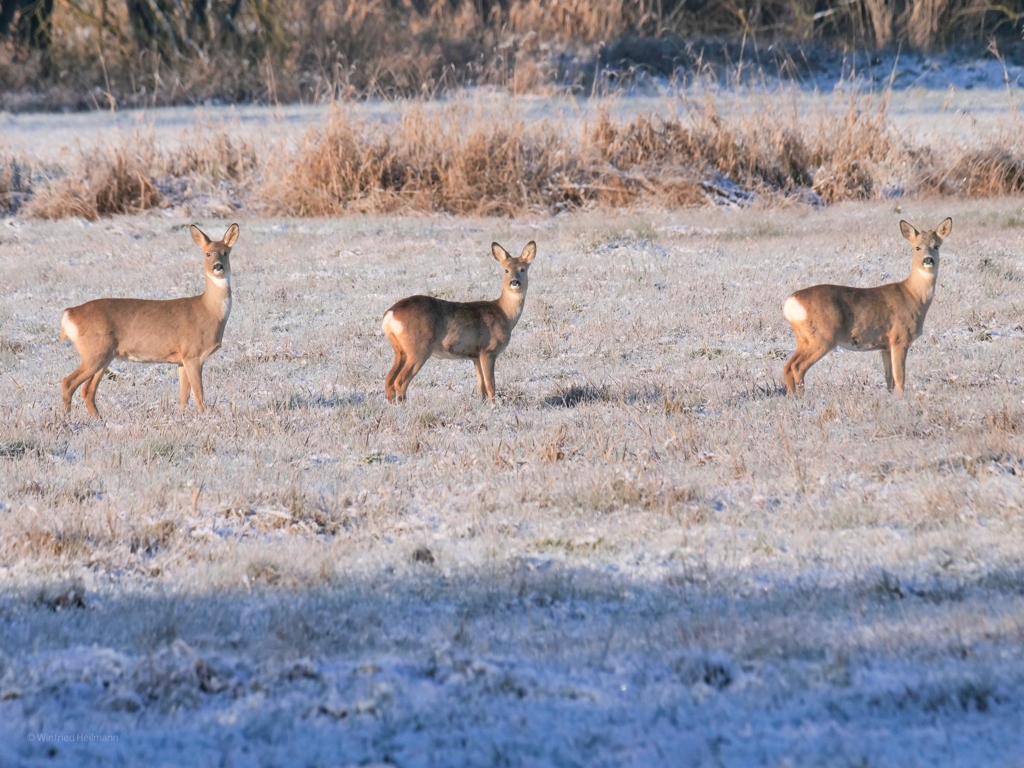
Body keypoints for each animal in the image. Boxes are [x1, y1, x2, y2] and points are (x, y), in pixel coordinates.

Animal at [60, 224, 240, 415]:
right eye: (207, 253)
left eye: (225, 252)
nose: (218, 266)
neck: (209, 311)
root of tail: (69, 313)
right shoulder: (192, 353)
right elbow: (199, 394)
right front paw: (204, 416)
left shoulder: (181, 359)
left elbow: (184, 396)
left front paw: (181, 416)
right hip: (94, 352)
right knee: (68, 383)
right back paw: (67, 418)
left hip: (104, 356)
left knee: (87, 390)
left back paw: (98, 419)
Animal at [382, 241, 540, 403]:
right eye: (506, 270)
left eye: (522, 269)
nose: (515, 282)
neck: (505, 314)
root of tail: (390, 314)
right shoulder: (488, 350)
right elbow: (491, 386)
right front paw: (494, 406)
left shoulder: (475, 356)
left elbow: (481, 387)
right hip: (418, 348)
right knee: (400, 381)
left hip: (400, 350)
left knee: (388, 381)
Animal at [782, 217, 950, 397]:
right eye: (916, 247)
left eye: (936, 246)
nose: (928, 260)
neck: (913, 295)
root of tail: (791, 302)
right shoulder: (899, 338)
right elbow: (900, 378)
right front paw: (902, 399)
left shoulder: (885, 345)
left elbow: (889, 378)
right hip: (823, 336)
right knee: (798, 367)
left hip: (804, 338)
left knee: (788, 366)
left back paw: (792, 397)